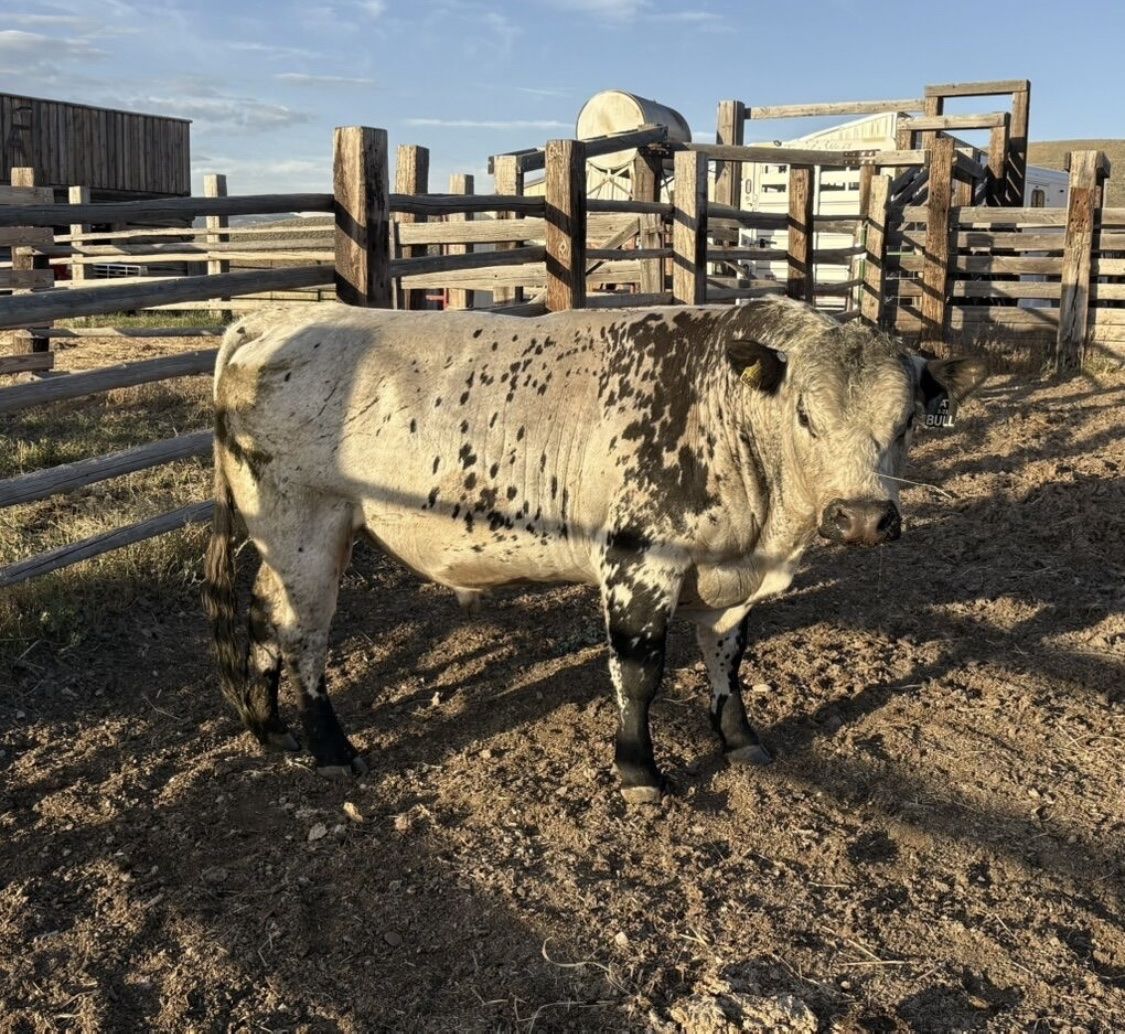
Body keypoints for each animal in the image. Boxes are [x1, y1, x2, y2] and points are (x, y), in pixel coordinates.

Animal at [204, 299, 987, 802]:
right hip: (303, 525)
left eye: (908, 419)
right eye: (804, 415)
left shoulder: (731, 572)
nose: (861, 517)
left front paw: (738, 737)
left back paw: (272, 728)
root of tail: (264, 319)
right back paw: (331, 748)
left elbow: (727, 654)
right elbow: (639, 672)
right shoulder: (639, 560)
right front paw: (639, 770)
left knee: (265, 618)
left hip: (295, 537)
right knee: (303, 635)